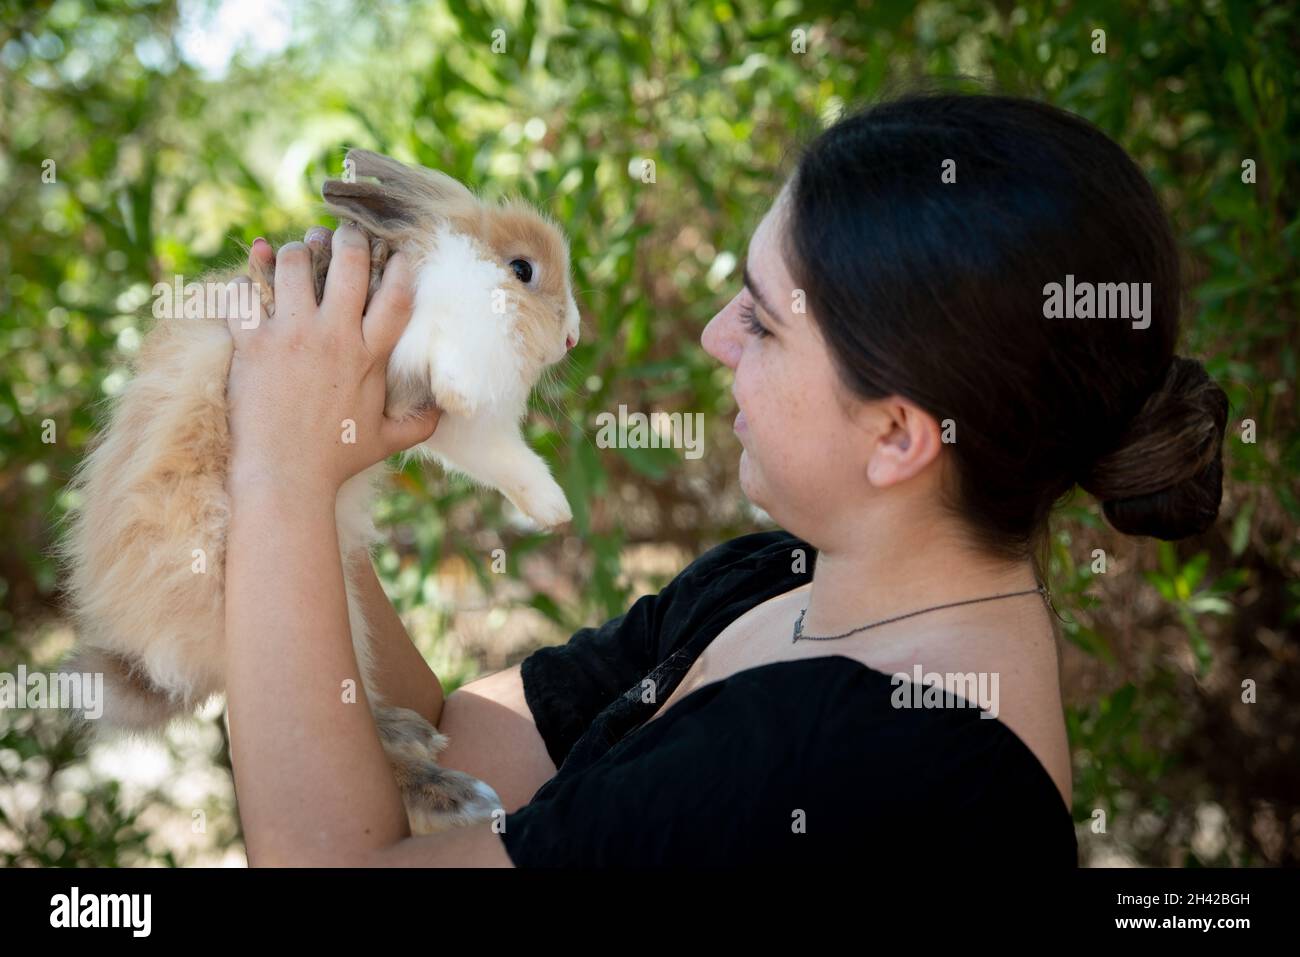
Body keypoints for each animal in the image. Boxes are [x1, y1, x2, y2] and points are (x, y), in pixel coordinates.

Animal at [55, 145, 582, 832]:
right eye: (522, 270)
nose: (572, 337)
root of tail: (151, 658)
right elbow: (452, 369)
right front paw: (462, 383)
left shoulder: (451, 428)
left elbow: (504, 458)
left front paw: (554, 510)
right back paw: (454, 793)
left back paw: (413, 733)